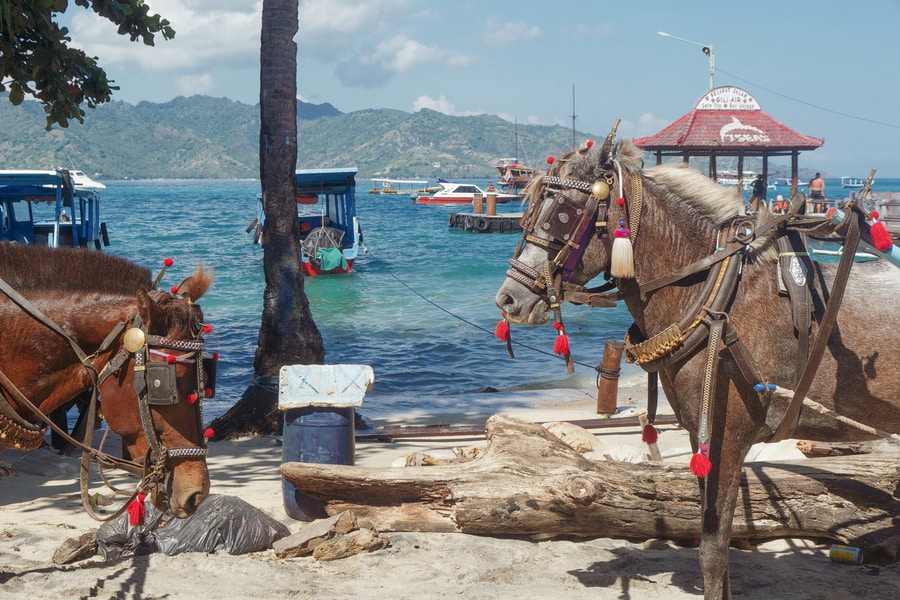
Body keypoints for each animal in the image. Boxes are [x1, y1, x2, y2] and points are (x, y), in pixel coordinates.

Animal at [496, 137, 900, 600]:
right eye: (529, 209)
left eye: (563, 211)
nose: (507, 298)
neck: (716, 293)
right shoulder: (698, 432)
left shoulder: (727, 437)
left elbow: (713, 551)